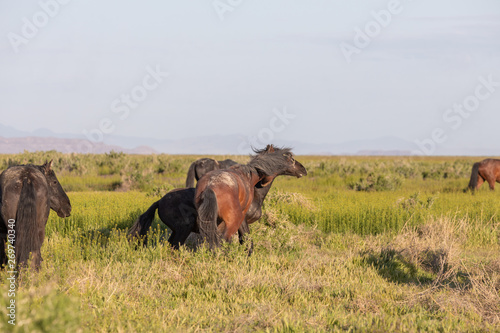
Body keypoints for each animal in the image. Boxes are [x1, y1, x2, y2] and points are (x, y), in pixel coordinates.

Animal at [129, 145, 306, 249]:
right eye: (290, 157)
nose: (303, 170)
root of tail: (159, 201)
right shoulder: (240, 222)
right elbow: (246, 243)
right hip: (183, 229)